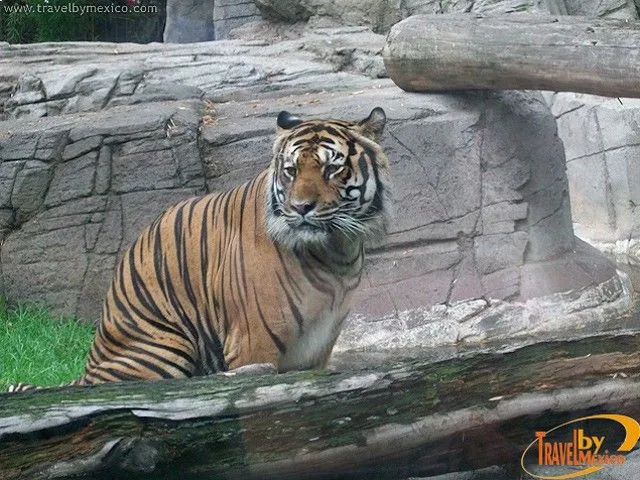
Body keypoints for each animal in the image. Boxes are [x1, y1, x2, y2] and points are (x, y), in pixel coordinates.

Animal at [8, 106, 390, 390]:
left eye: (332, 169)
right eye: (291, 171)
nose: (300, 208)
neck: (336, 252)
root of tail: (88, 368)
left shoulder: (319, 346)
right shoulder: (252, 341)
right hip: (166, 346)